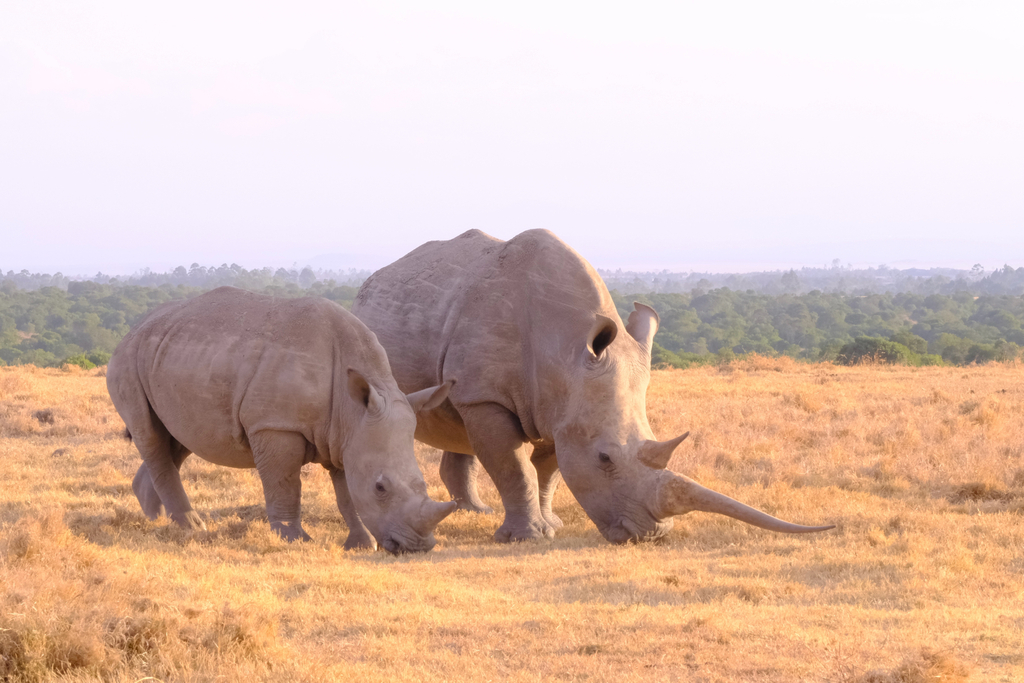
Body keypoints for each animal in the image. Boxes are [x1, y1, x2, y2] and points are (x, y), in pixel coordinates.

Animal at [106, 286, 457, 553]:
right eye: (381, 488)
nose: (417, 547)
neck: (352, 410)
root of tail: (133, 329)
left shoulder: (345, 433)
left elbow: (346, 492)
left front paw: (362, 544)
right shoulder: (276, 425)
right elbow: (285, 484)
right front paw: (295, 540)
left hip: (175, 355)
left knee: (176, 439)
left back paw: (157, 518)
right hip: (126, 360)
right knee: (150, 435)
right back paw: (192, 528)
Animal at [352, 229, 834, 543]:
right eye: (605, 458)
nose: (649, 536)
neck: (564, 350)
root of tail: (369, 283)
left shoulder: (560, 406)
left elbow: (547, 471)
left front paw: (551, 526)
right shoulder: (489, 395)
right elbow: (514, 467)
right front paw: (527, 538)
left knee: (460, 428)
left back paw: (475, 512)